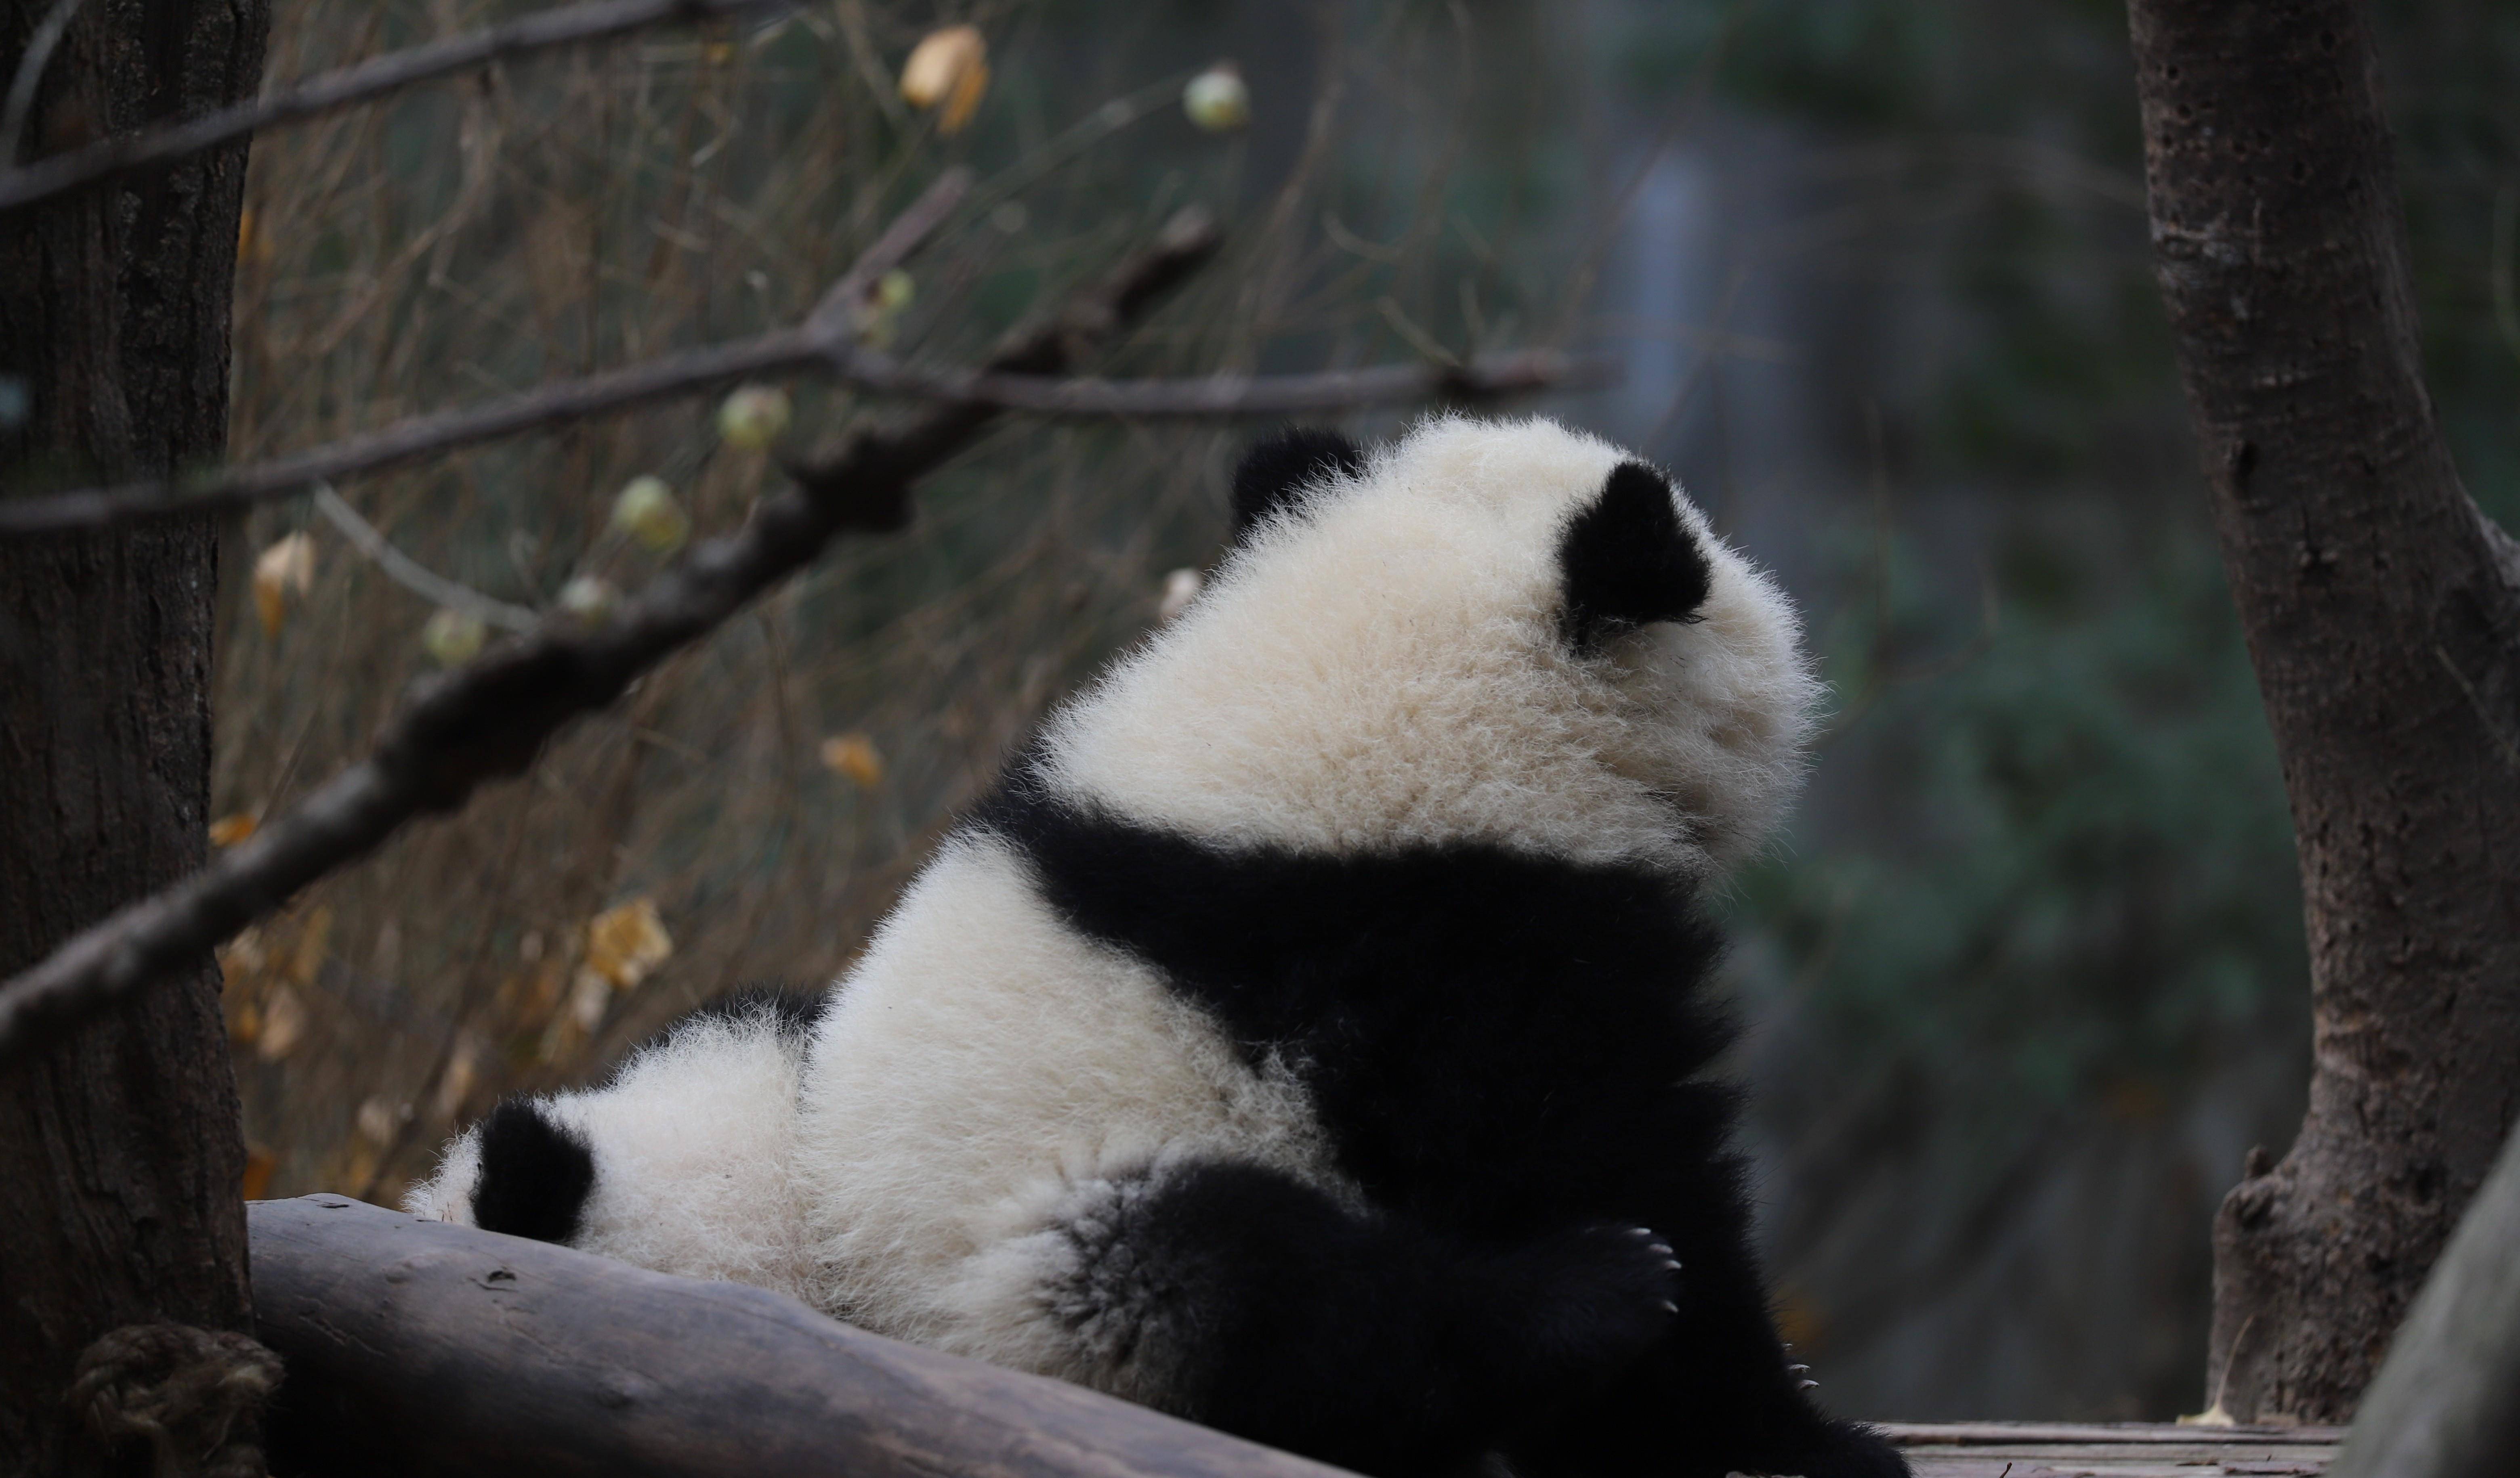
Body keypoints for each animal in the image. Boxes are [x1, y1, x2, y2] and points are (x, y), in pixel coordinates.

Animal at [408, 413, 1905, 1478]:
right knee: (1255, 1286)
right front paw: (1788, 1437)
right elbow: (1612, 1155)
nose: (1801, 681)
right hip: (1048, 1276)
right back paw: (1577, 1297)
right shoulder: (1448, 940)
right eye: (1712, 578)